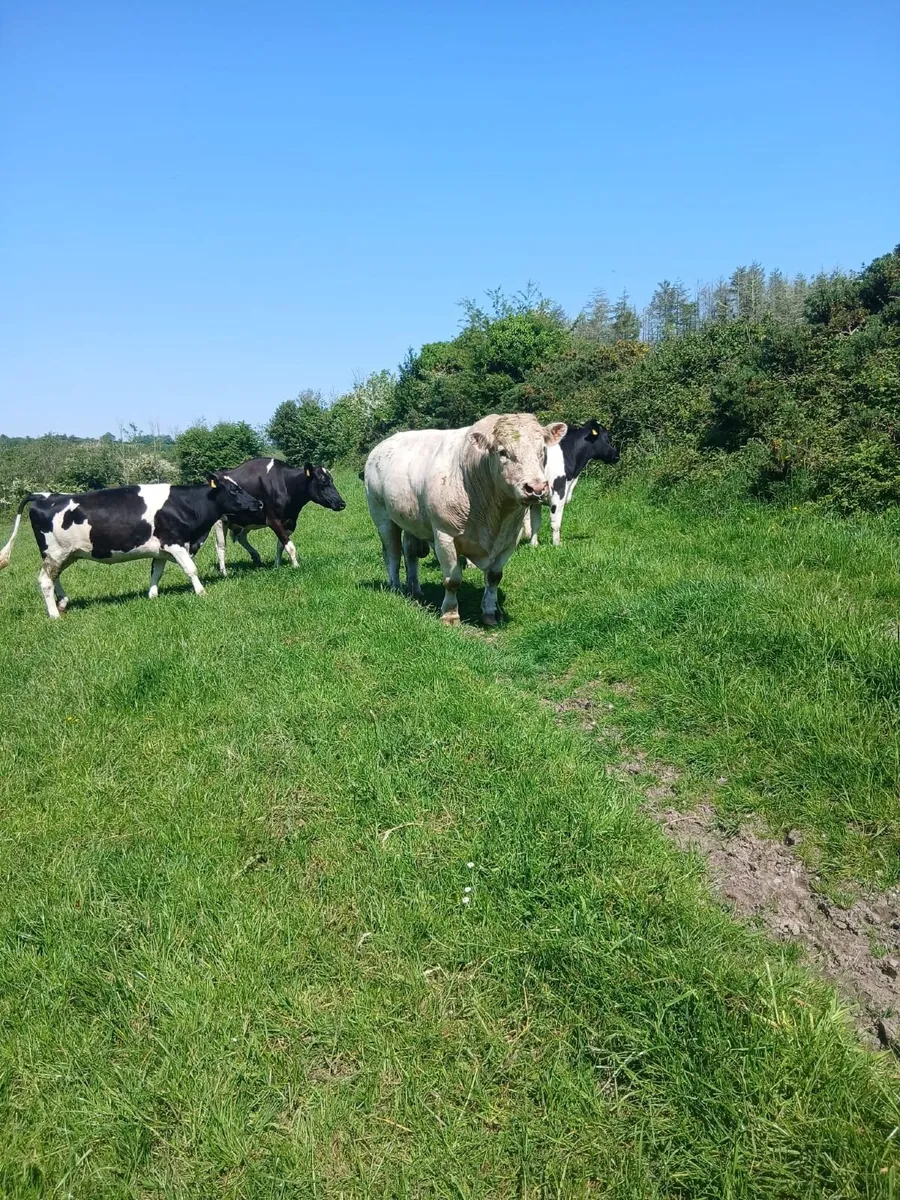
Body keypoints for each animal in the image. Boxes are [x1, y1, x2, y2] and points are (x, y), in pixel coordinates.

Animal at [0, 476, 263, 618]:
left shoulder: (161, 548)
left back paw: (62, 603)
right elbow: (191, 569)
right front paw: (201, 592)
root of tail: (45, 495)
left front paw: (152, 595)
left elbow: (156, 571)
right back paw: (54, 614)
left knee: (54, 578)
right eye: (234, 489)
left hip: (66, 554)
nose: (259, 503)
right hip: (56, 553)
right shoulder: (175, 543)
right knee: (45, 580)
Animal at [212, 457, 346, 575]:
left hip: (248, 520)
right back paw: (224, 573)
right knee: (221, 546)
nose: (342, 503)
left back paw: (256, 556)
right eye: (323, 482)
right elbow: (290, 546)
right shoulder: (273, 520)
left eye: (332, 480)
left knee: (241, 537)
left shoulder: (290, 521)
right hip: (221, 521)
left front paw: (277, 565)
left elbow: (281, 545)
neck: (286, 485)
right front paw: (296, 566)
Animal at [364, 413, 567, 626]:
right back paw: (396, 588)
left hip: (411, 520)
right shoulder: (444, 535)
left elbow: (494, 576)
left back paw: (416, 590)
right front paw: (450, 615)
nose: (536, 488)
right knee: (393, 554)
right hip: (382, 517)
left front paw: (490, 613)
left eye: (542, 450)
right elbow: (453, 580)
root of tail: (380, 447)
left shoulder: (511, 538)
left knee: (410, 553)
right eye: (502, 452)